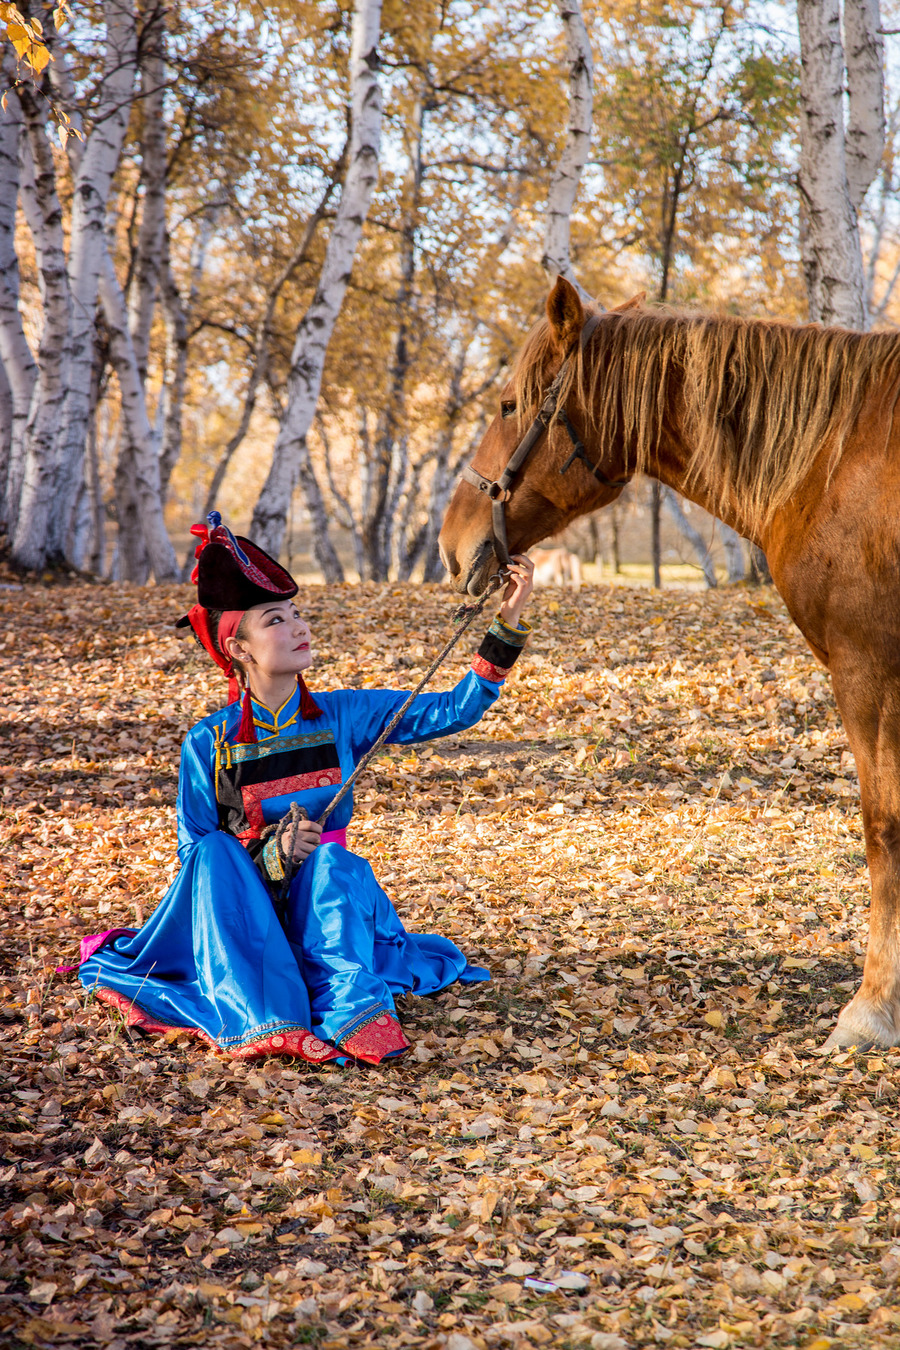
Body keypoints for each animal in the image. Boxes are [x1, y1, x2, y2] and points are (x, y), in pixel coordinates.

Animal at [442, 276, 900, 1053]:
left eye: (507, 404)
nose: (451, 541)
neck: (835, 463)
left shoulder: (869, 672)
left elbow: (882, 829)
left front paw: (872, 1010)